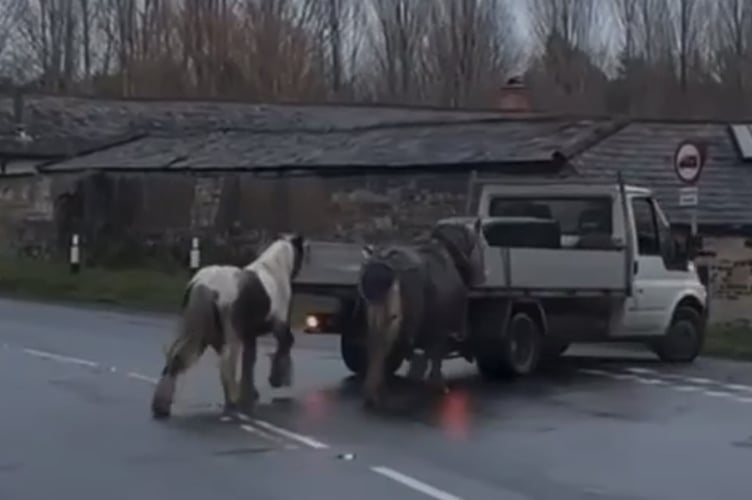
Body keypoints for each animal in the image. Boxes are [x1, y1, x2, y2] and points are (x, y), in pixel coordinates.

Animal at [150, 233, 307, 419]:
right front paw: (276, 380)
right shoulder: (279, 326)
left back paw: (161, 406)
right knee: (226, 364)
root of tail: (203, 285)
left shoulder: (248, 335)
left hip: (198, 332)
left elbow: (249, 361)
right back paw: (231, 403)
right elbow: (283, 347)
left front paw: (252, 392)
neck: (273, 272)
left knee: (175, 359)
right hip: (229, 336)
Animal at [357, 219, 485, 409]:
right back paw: (380, 394)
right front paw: (438, 385)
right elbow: (436, 355)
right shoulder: (440, 327)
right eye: (482, 245)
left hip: (375, 311)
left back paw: (374, 393)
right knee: (386, 345)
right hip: (394, 317)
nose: (483, 277)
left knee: (376, 345)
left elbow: (431, 354)